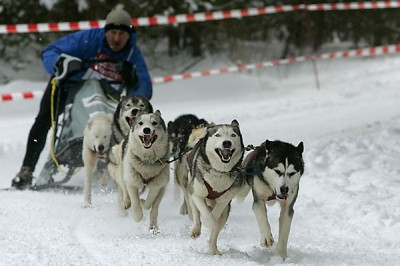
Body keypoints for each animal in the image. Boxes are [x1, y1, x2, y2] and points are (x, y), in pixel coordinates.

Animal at [186, 119, 245, 255]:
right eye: (218, 135)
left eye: (233, 135)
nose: (227, 143)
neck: (219, 172)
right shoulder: (196, 192)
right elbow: (205, 213)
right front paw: (208, 221)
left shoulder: (225, 199)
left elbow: (217, 212)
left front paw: (213, 219)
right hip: (191, 191)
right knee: (196, 214)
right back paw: (196, 230)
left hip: (226, 211)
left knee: (215, 233)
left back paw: (213, 250)